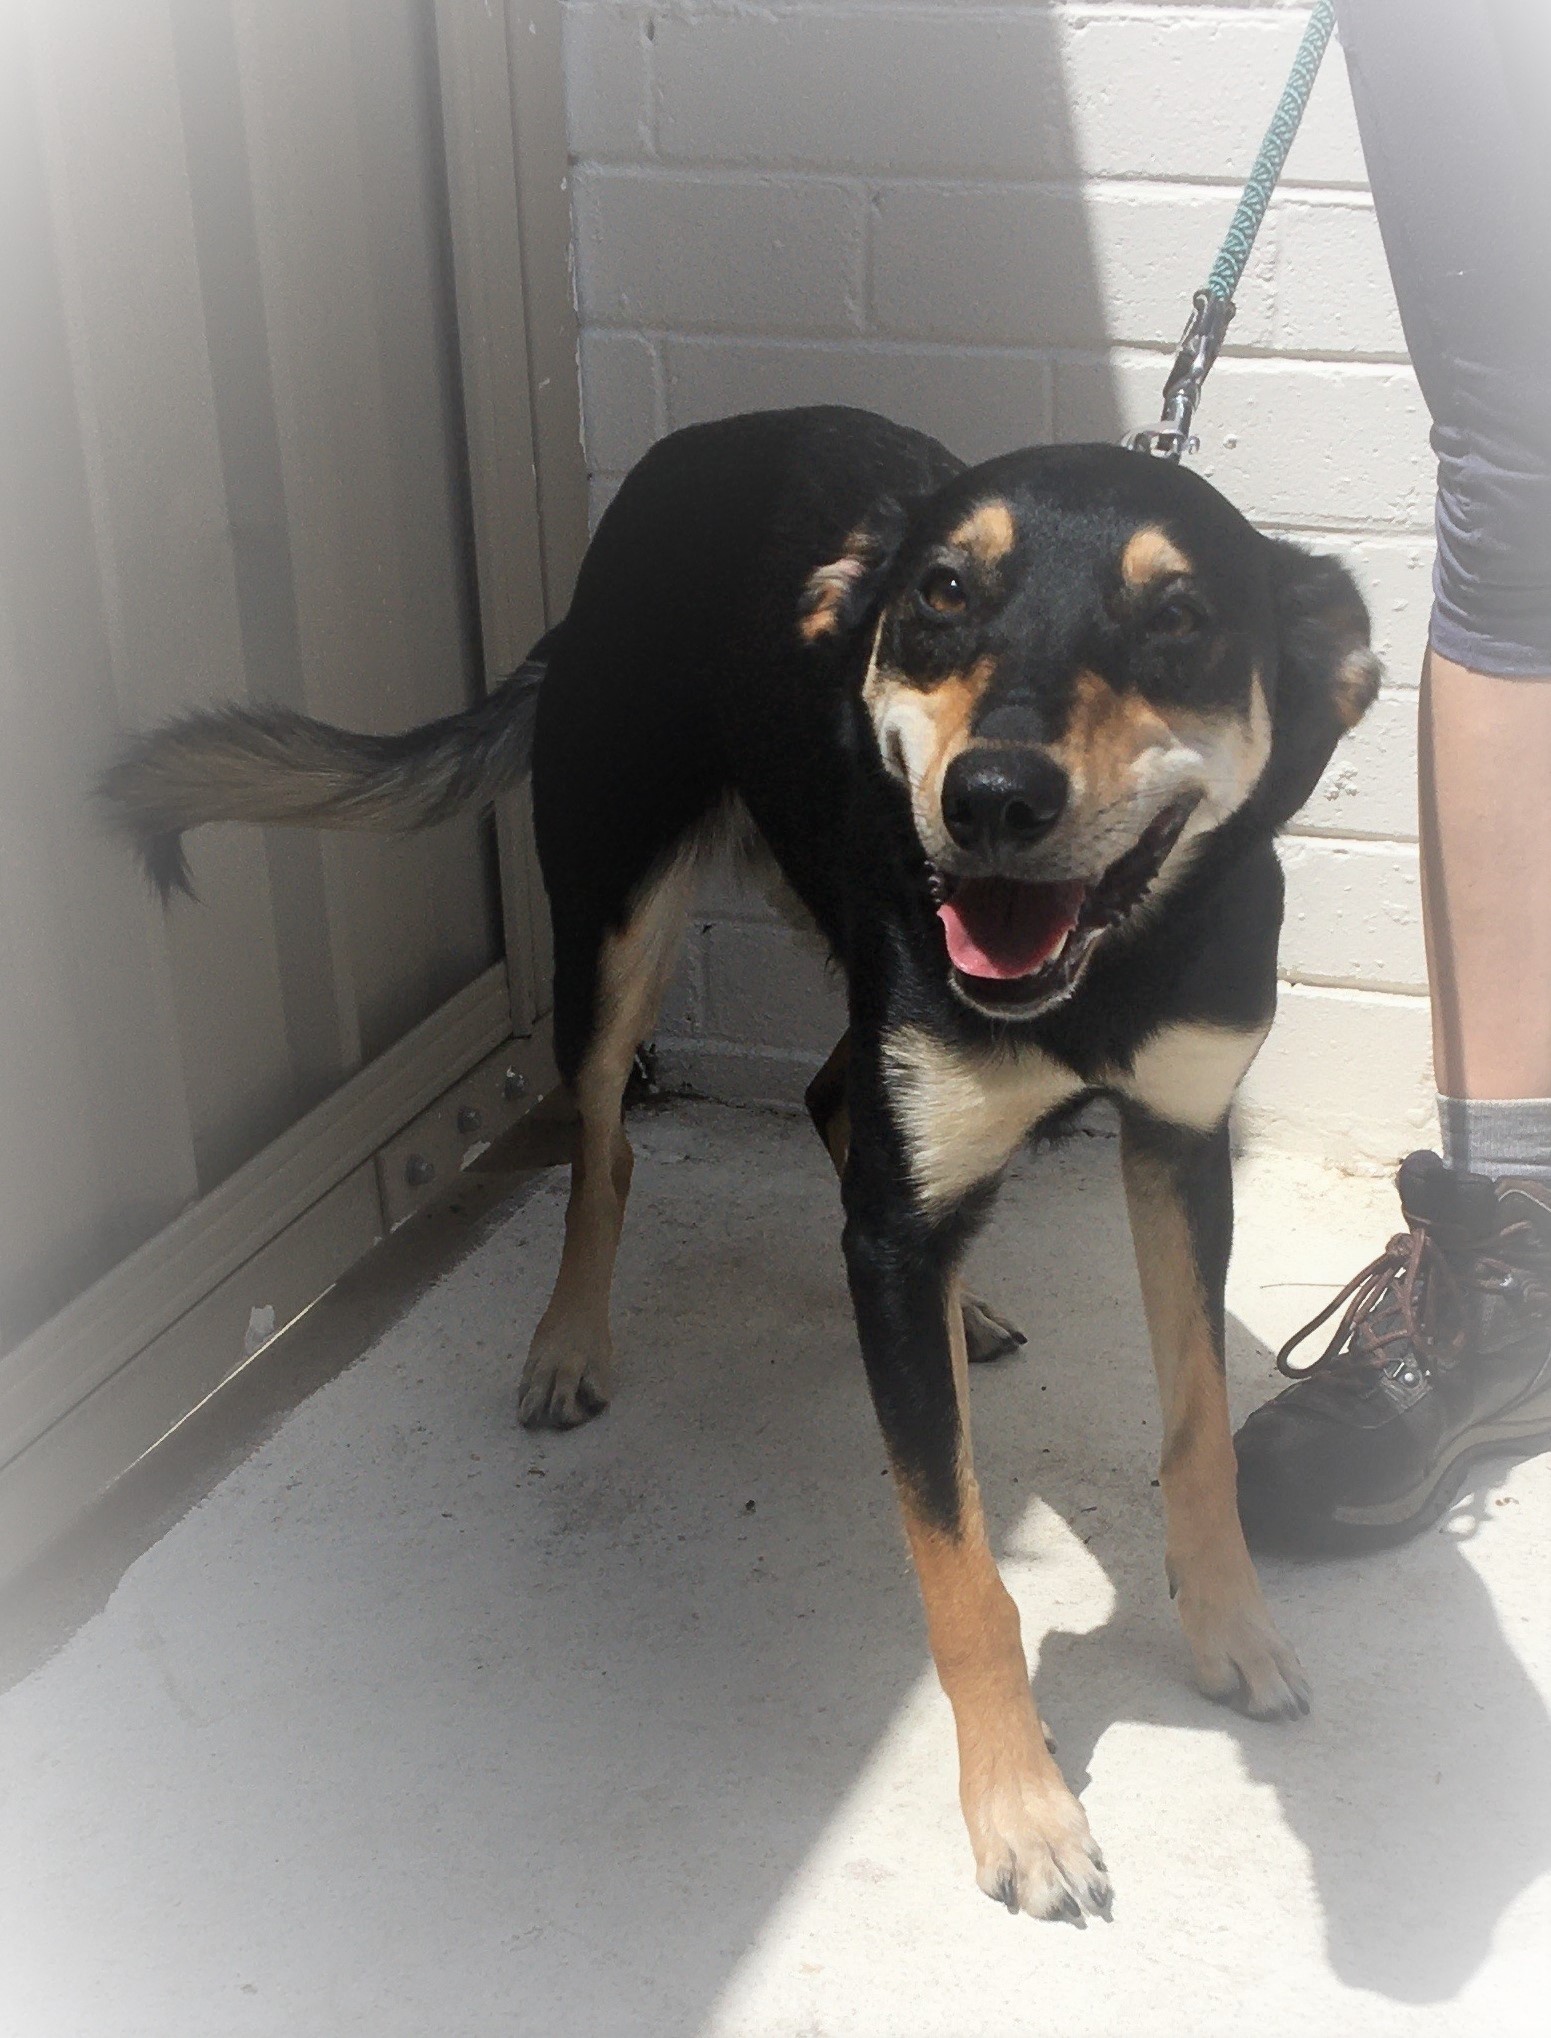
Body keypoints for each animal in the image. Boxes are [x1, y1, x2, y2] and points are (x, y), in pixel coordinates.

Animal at [104, 405, 1379, 1922]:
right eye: (944, 594)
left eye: (1179, 618)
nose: (991, 798)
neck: (1099, 974)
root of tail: (697, 448)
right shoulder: (903, 1186)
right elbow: (964, 1570)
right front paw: (1020, 1807)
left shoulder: (1182, 1145)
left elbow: (1194, 1429)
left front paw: (1232, 1628)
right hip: (611, 928)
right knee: (606, 1144)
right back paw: (571, 1341)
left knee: (837, 1106)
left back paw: (962, 1304)